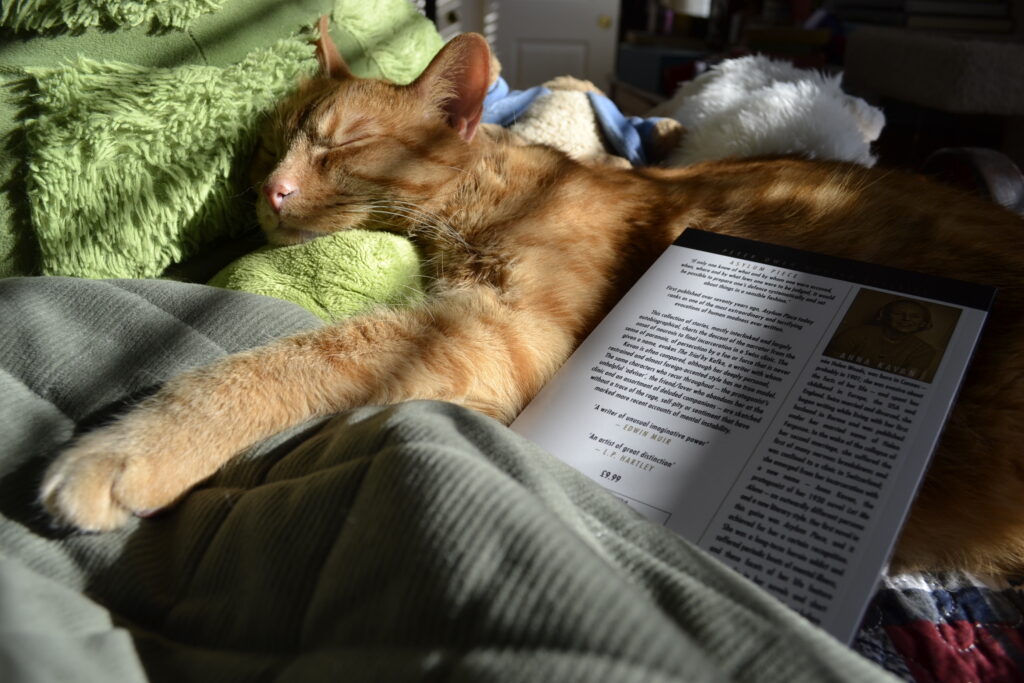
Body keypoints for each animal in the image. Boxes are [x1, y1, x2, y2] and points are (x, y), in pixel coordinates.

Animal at [41, 24, 1024, 573]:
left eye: (338, 145)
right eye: (263, 152)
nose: (268, 194)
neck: (500, 191)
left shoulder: (514, 334)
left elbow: (297, 357)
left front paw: (133, 446)